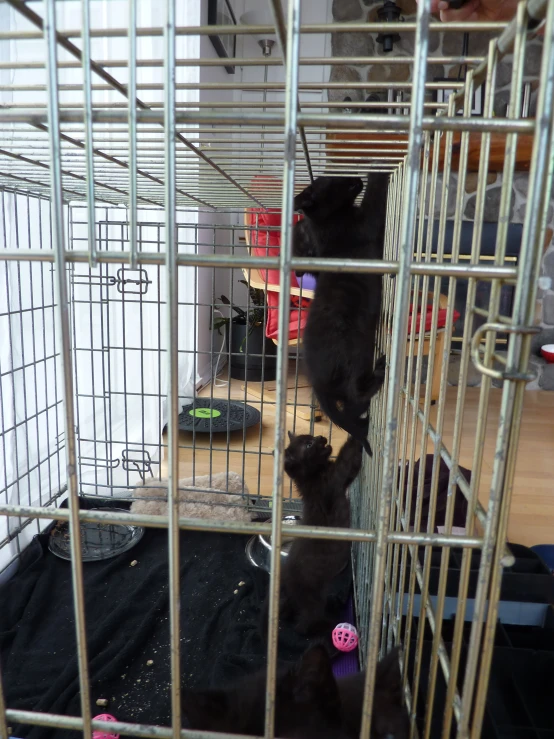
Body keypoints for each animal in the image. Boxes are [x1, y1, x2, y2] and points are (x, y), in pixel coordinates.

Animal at [264, 430, 362, 640]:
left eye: (311, 436)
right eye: (309, 445)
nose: (321, 438)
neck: (314, 476)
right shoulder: (335, 480)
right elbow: (350, 456)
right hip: (312, 599)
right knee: (304, 624)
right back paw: (322, 628)